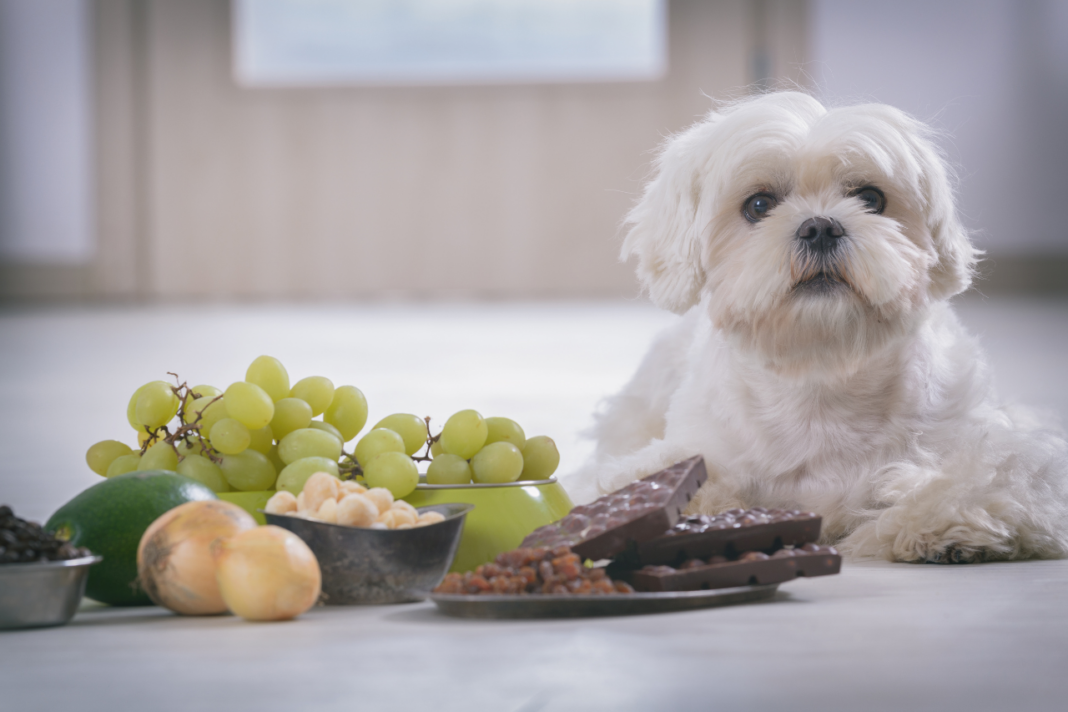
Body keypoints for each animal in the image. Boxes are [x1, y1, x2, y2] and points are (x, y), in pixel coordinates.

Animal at [563, 91, 1063, 563]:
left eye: (871, 198)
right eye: (759, 204)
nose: (820, 227)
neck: (819, 374)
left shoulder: (994, 444)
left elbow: (989, 475)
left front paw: (938, 522)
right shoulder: (691, 449)